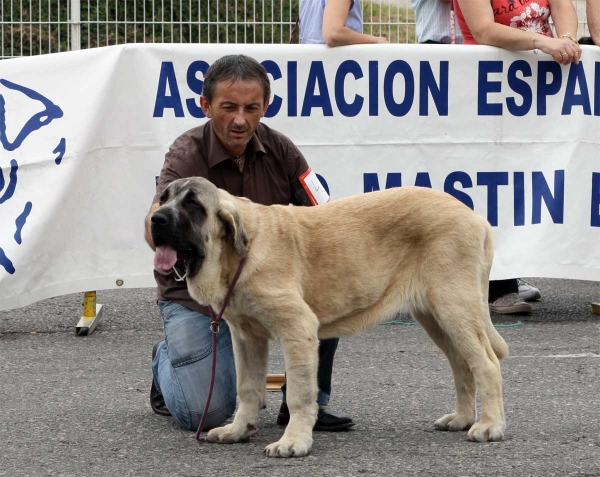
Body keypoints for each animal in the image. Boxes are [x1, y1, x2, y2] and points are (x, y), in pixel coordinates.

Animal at [150, 176, 506, 458]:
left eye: (193, 204)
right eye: (164, 198)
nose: (156, 219)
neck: (237, 254)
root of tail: (475, 217)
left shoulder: (298, 329)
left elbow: (298, 393)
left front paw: (293, 441)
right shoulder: (247, 337)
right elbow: (247, 388)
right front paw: (238, 429)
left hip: (454, 307)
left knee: (486, 364)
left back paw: (489, 425)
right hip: (435, 317)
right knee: (463, 365)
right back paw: (461, 418)